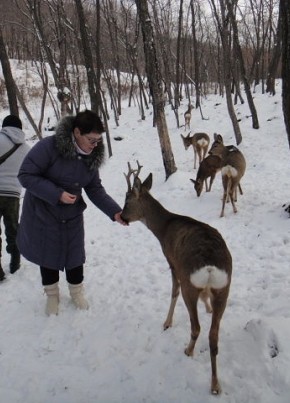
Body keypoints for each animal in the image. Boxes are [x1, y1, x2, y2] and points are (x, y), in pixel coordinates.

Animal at [121, 160, 232, 394]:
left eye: (127, 201)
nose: (122, 216)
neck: (163, 228)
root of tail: (210, 268)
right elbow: (205, 298)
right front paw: (207, 307)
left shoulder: (172, 261)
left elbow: (173, 291)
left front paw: (167, 322)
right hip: (224, 288)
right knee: (213, 336)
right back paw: (215, 384)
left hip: (190, 283)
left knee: (196, 326)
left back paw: (188, 351)